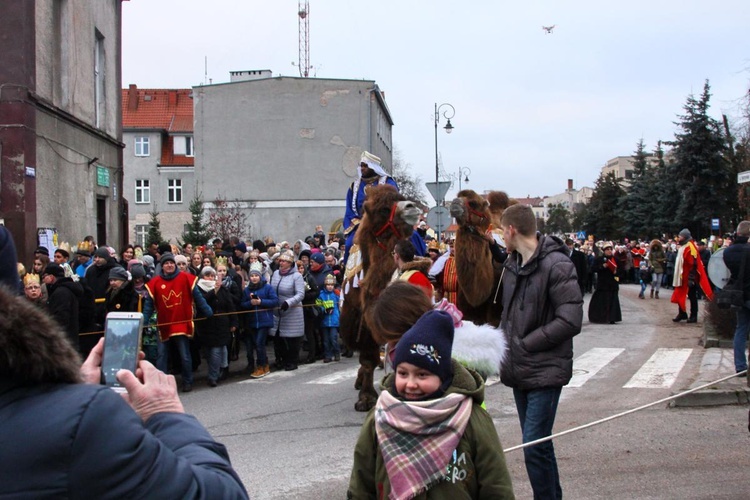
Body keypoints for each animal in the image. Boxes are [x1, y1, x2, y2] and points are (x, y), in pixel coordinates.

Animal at [340, 184, 424, 410]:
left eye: (401, 197)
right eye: (383, 210)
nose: (412, 207)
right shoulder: (361, 317)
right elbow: (368, 357)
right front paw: (366, 398)